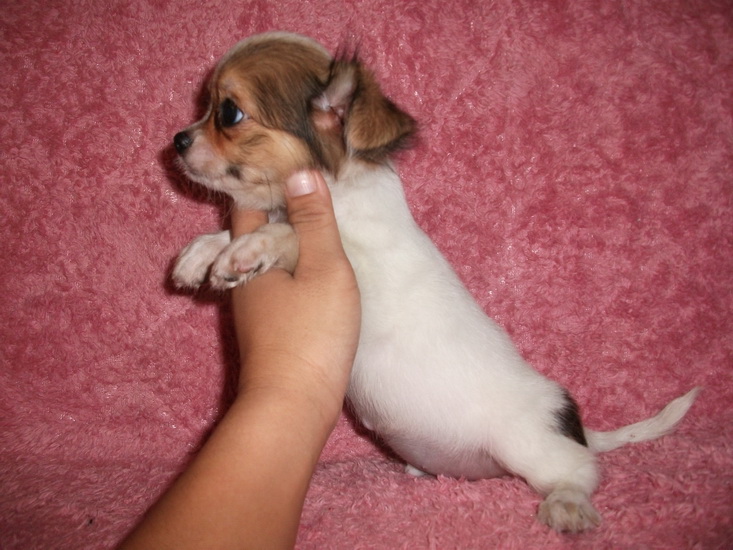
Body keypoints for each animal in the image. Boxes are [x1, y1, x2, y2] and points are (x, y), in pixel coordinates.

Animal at [171, 32, 698, 532]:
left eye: (229, 113)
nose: (176, 139)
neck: (338, 197)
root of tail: (575, 428)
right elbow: (237, 232)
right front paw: (202, 252)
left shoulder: (356, 274)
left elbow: (290, 234)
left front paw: (249, 248)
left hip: (528, 445)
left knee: (582, 470)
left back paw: (567, 503)